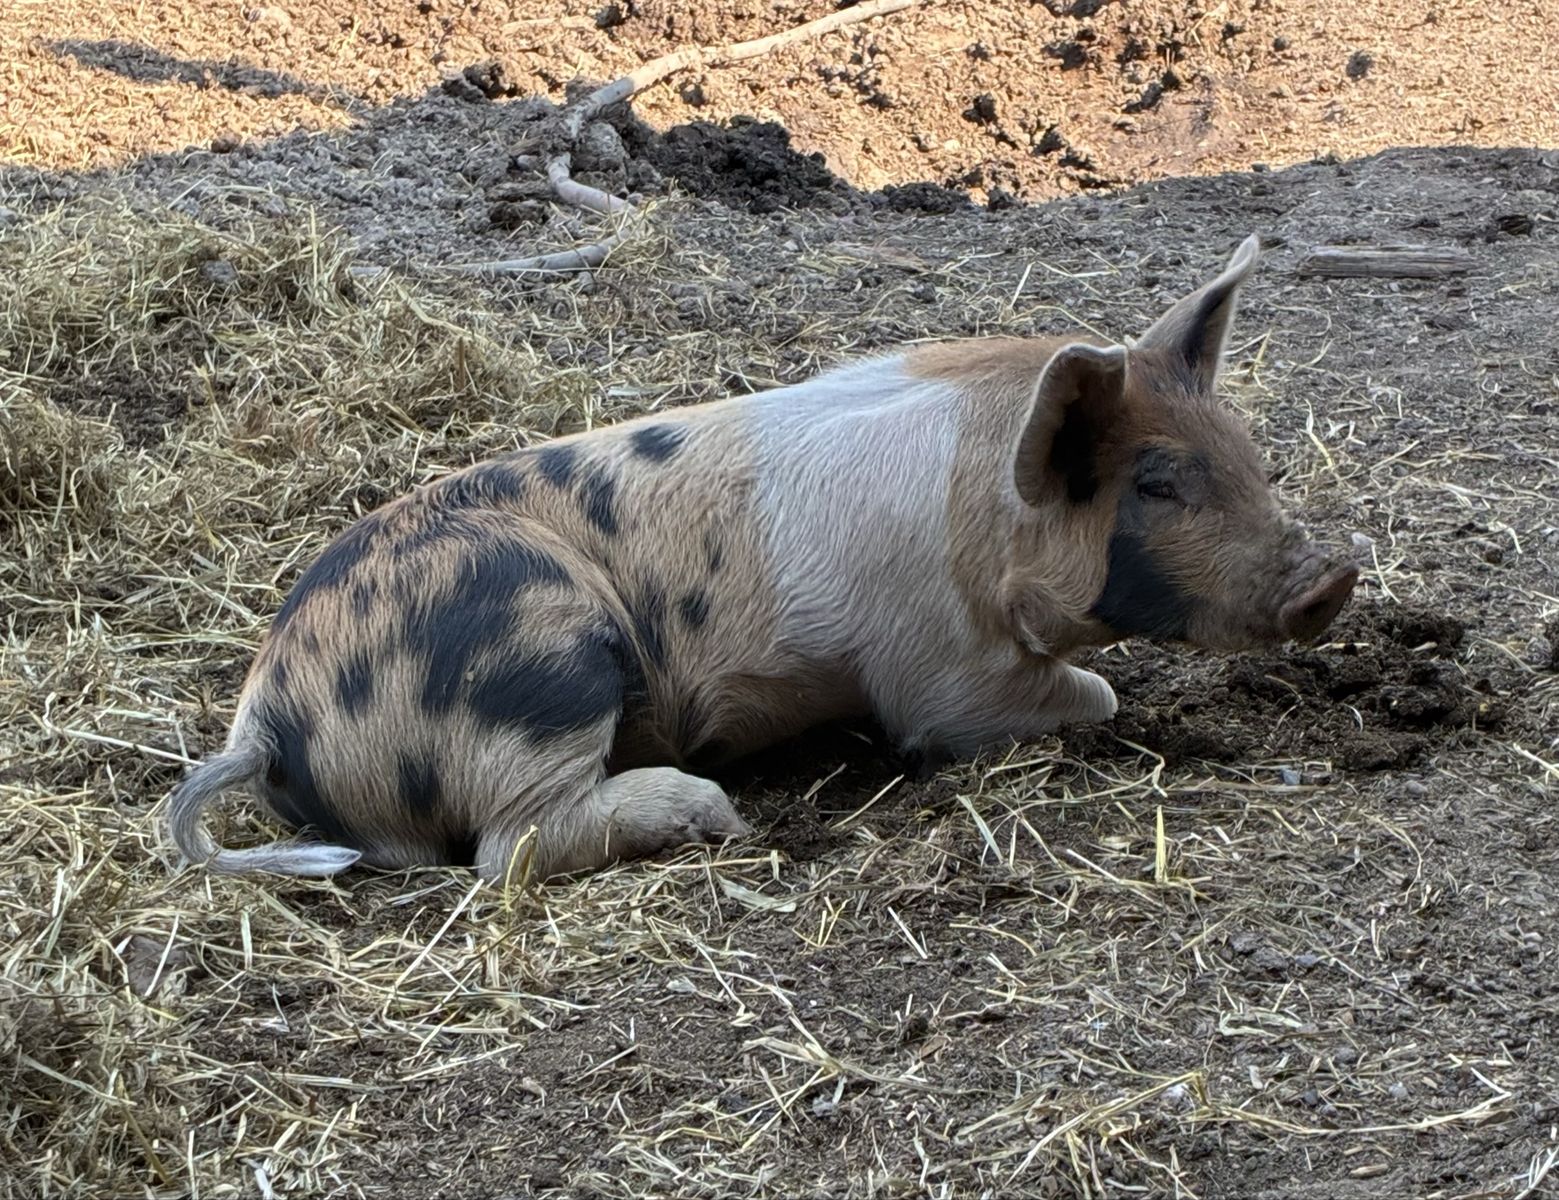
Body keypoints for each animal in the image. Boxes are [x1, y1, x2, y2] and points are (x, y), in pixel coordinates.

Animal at [167, 234, 1358, 884]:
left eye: (1246, 453)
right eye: (1155, 485)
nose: (1329, 578)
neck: (984, 512)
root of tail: (266, 713)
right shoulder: (936, 672)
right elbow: (1085, 699)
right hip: (541, 645)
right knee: (506, 847)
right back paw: (712, 812)